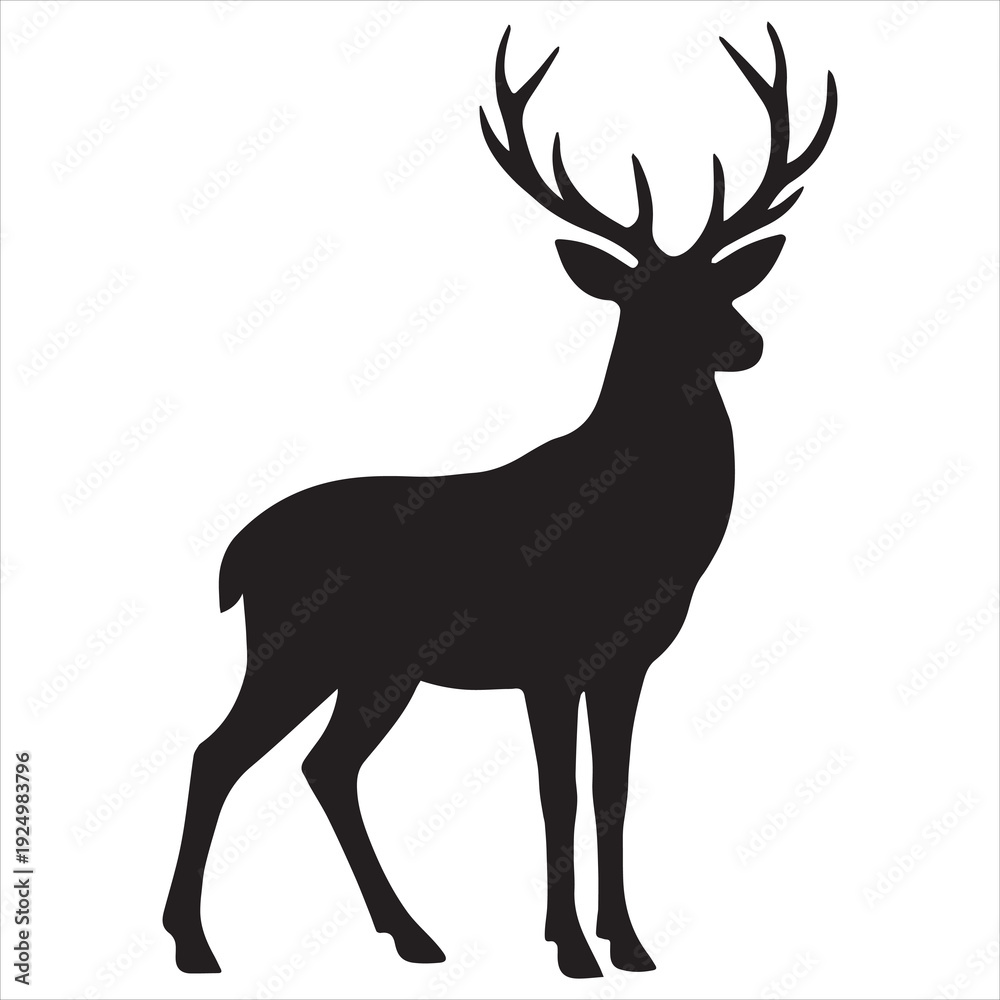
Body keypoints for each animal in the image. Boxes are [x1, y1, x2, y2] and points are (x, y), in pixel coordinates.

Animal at [164, 23, 836, 980]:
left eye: (724, 287)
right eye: (647, 299)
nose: (749, 343)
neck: (642, 533)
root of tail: (237, 556)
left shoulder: (627, 664)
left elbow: (611, 792)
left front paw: (629, 944)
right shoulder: (547, 662)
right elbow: (558, 797)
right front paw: (572, 950)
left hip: (378, 667)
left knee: (326, 767)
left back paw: (411, 934)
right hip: (296, 647)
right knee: (217, 753)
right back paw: (195, 943)